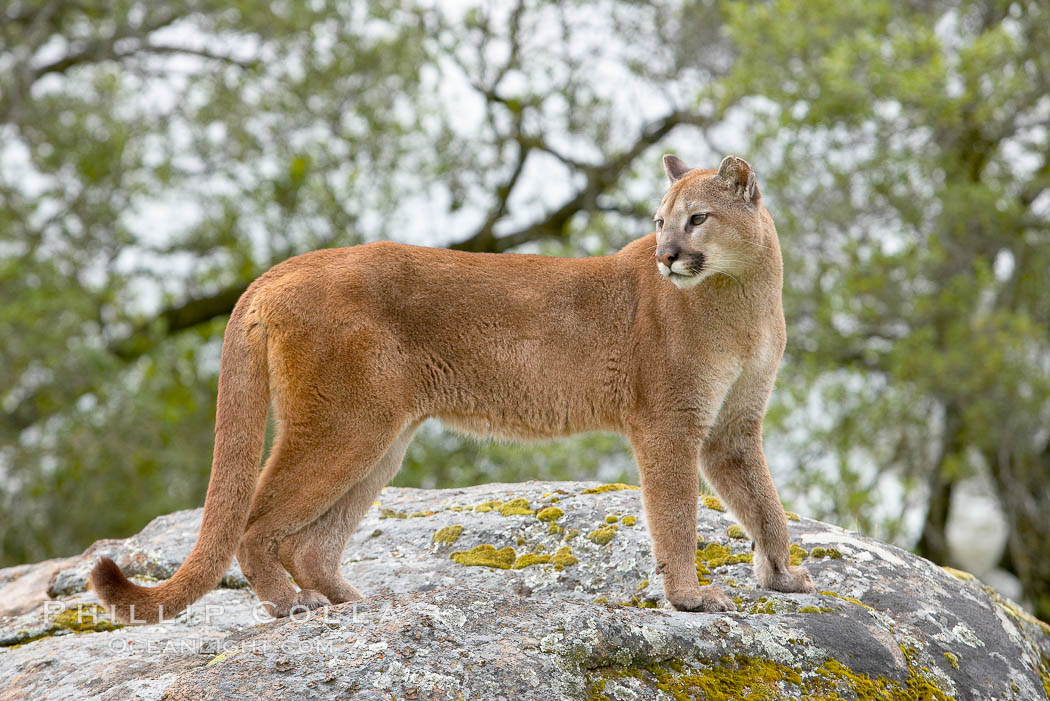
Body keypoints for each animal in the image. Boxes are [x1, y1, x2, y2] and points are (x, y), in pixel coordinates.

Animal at [92, 156, 810, 621]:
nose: (665, 257)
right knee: (256, 523)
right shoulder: (671, 423)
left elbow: (765, 505)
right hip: (344, 427)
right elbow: (678, 517)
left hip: (381, 439)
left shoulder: (731, 430)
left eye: (697, 218)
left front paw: (784, 576)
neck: (743, 297)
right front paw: (690, 597)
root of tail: (285, 267)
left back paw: (346, 599)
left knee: (307, 539)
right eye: (660, 221)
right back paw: (289, 602)